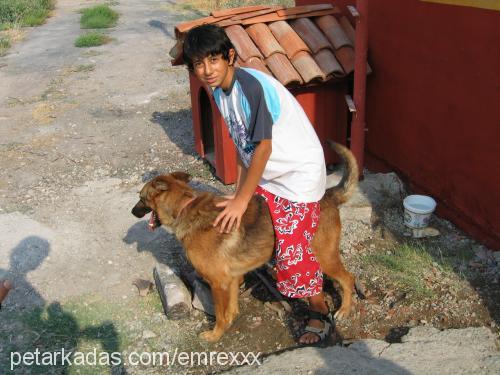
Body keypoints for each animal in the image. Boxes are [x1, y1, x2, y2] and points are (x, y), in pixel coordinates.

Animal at [132, 141, 360, 344]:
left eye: (141, 198)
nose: (133, 212)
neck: (184, 206)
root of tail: (328, 195)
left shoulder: (218, 282)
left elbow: (221, 313)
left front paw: (215, 335)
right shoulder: (231, 279)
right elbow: (231, 309)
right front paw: (229, 323)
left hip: (325, 256)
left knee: (348, 278)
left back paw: (344, 310)